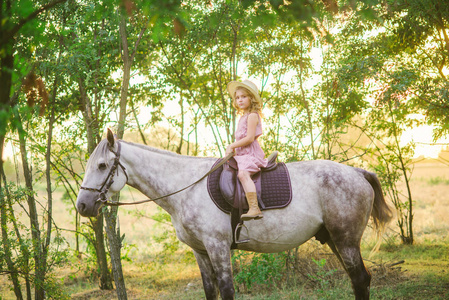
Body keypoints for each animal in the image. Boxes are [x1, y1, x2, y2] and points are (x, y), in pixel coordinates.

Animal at [77, 129, 392, 300]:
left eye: (102, 166)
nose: (82, 206)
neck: (187, 186)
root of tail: (357, 172)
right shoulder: (200, 251)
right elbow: (211, 291)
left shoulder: (217, 247)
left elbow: (227, 290)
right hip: (336, 240)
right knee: (359, 281)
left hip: (346, 240)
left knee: (360, 280)